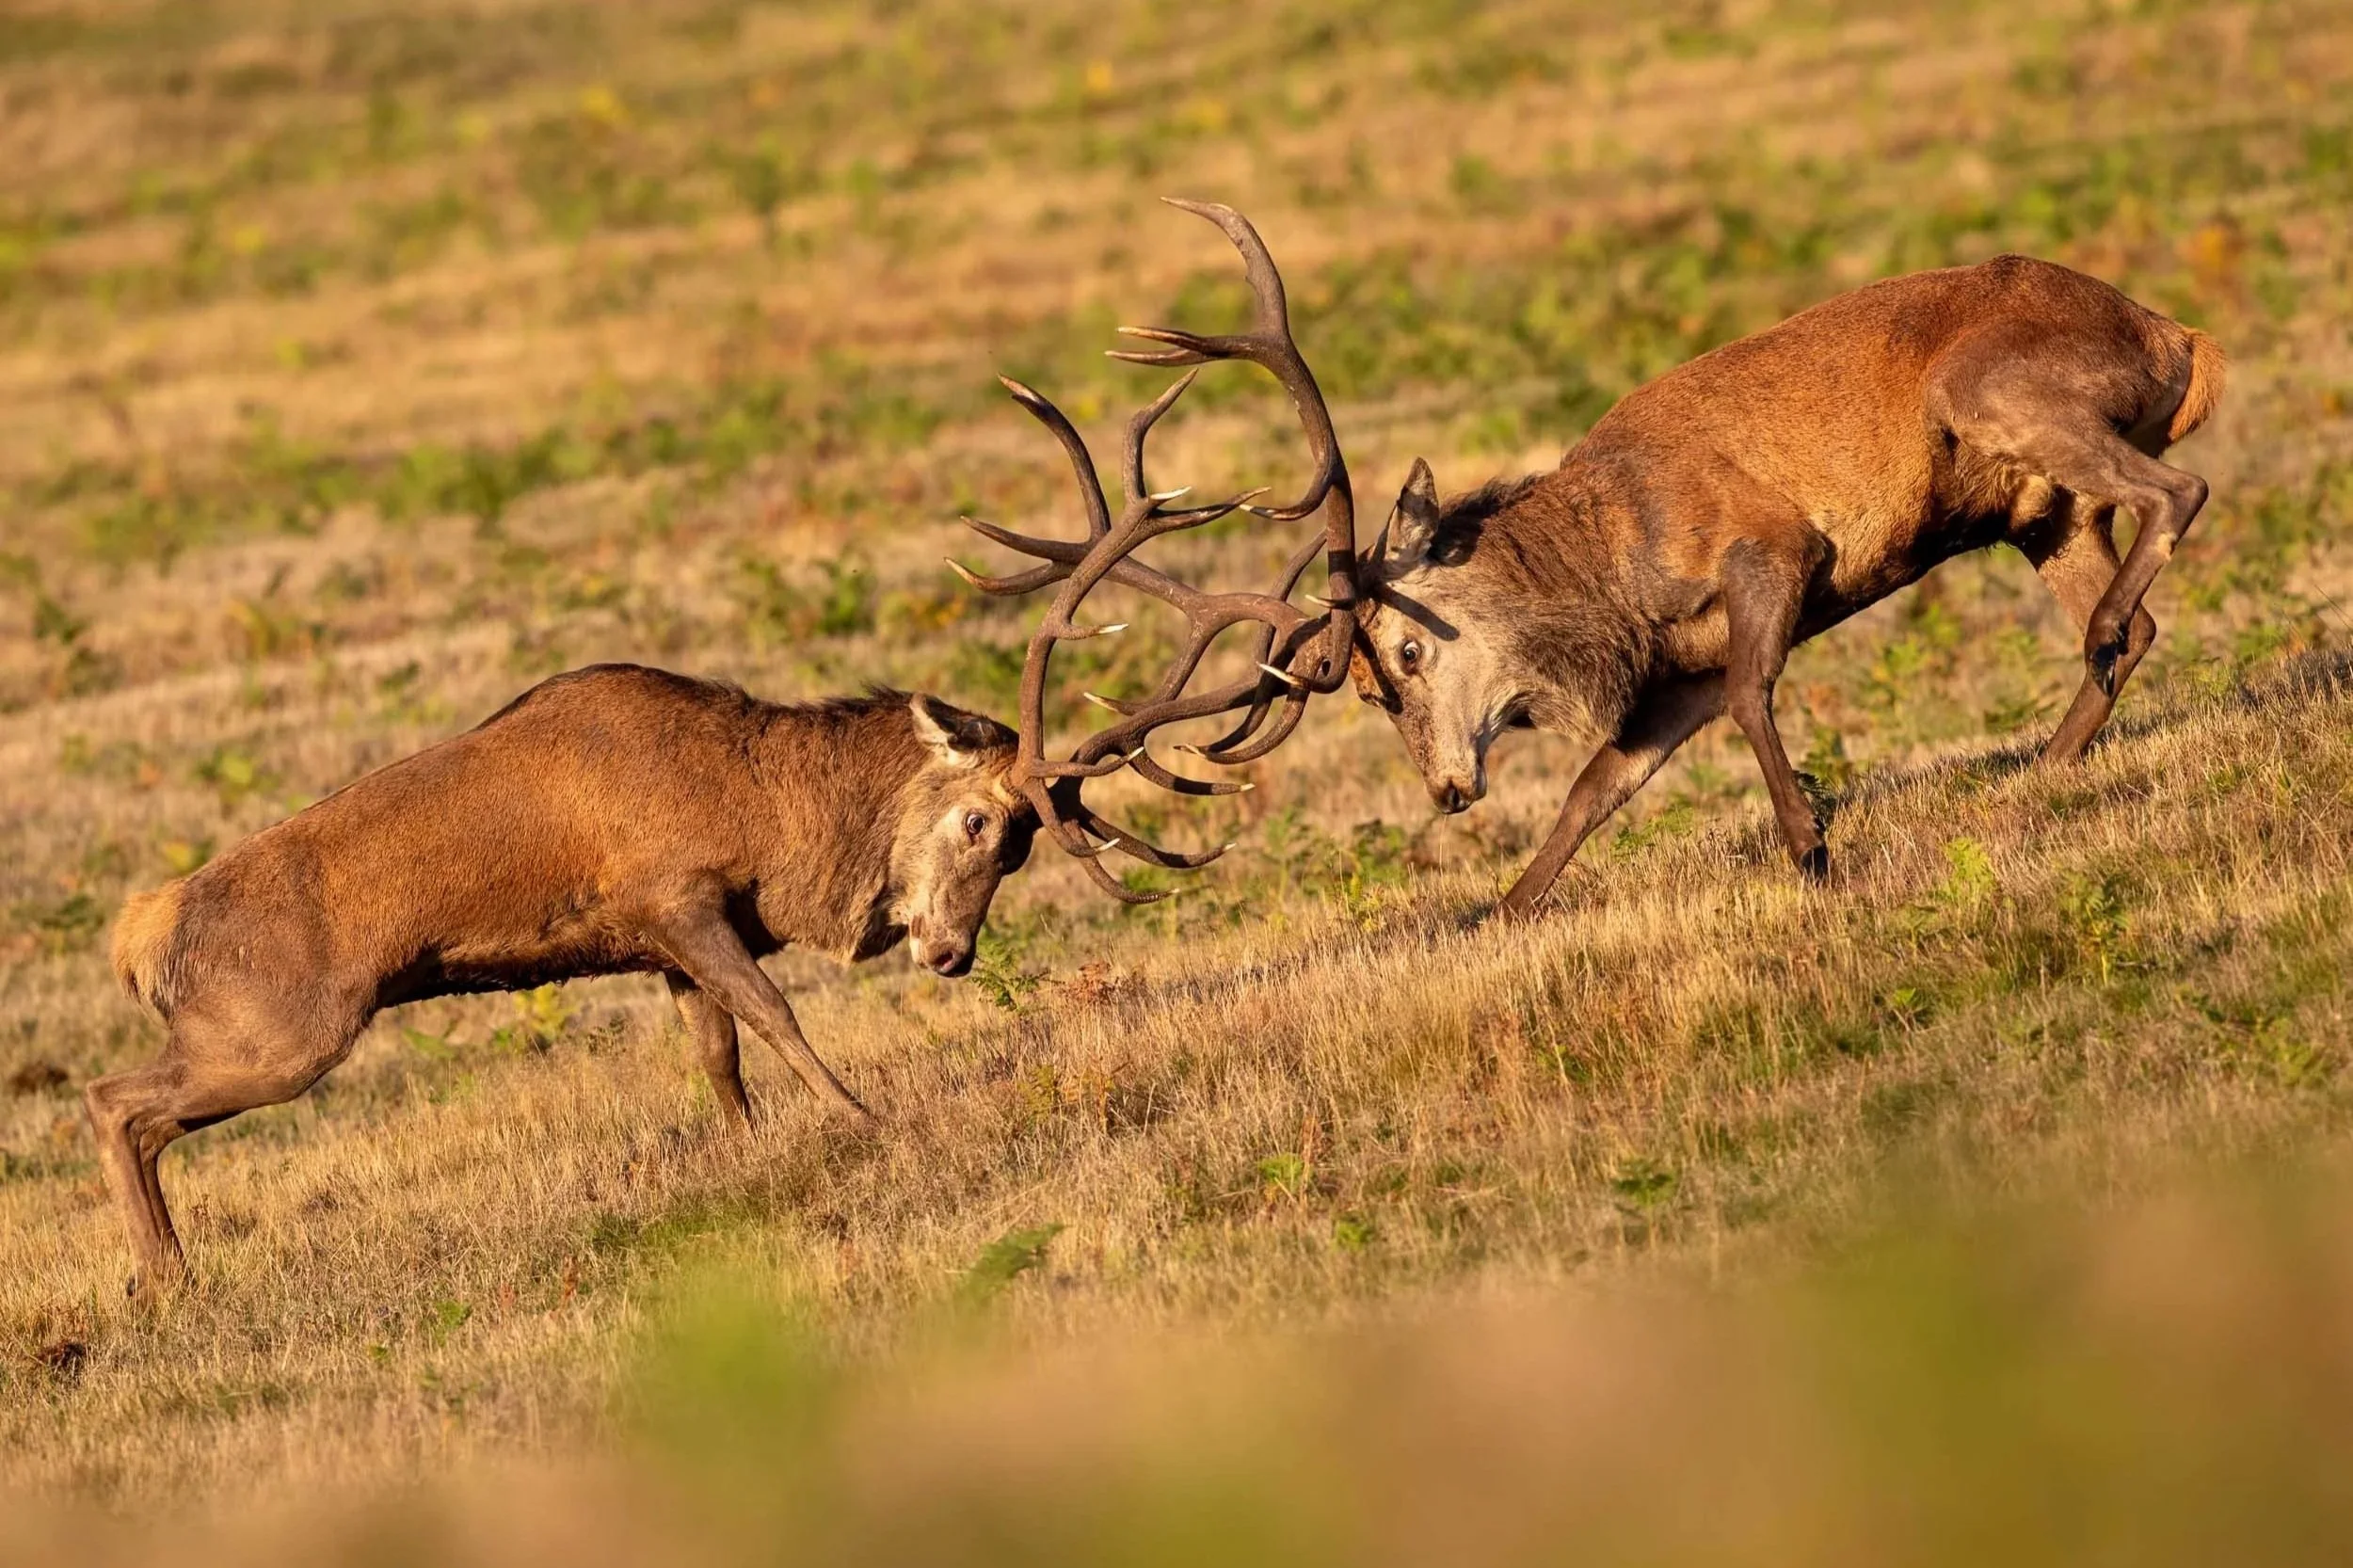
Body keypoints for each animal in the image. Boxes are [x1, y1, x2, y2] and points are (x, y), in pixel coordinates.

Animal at [956, 200, 2226, 923]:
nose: (1447, 789)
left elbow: (1757, 697)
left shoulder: (1774, 545)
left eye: (1404, 651)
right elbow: (1592, 790)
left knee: (2180, 497)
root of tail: (2179, 337)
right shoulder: (1673, 677)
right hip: (2037, 509)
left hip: (1998, 397)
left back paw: (2078, 675)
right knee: (2137, 611)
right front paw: (1496, 908)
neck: (1614, 582)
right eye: (1363, 690)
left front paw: (1809, 845)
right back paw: (2050, 758)